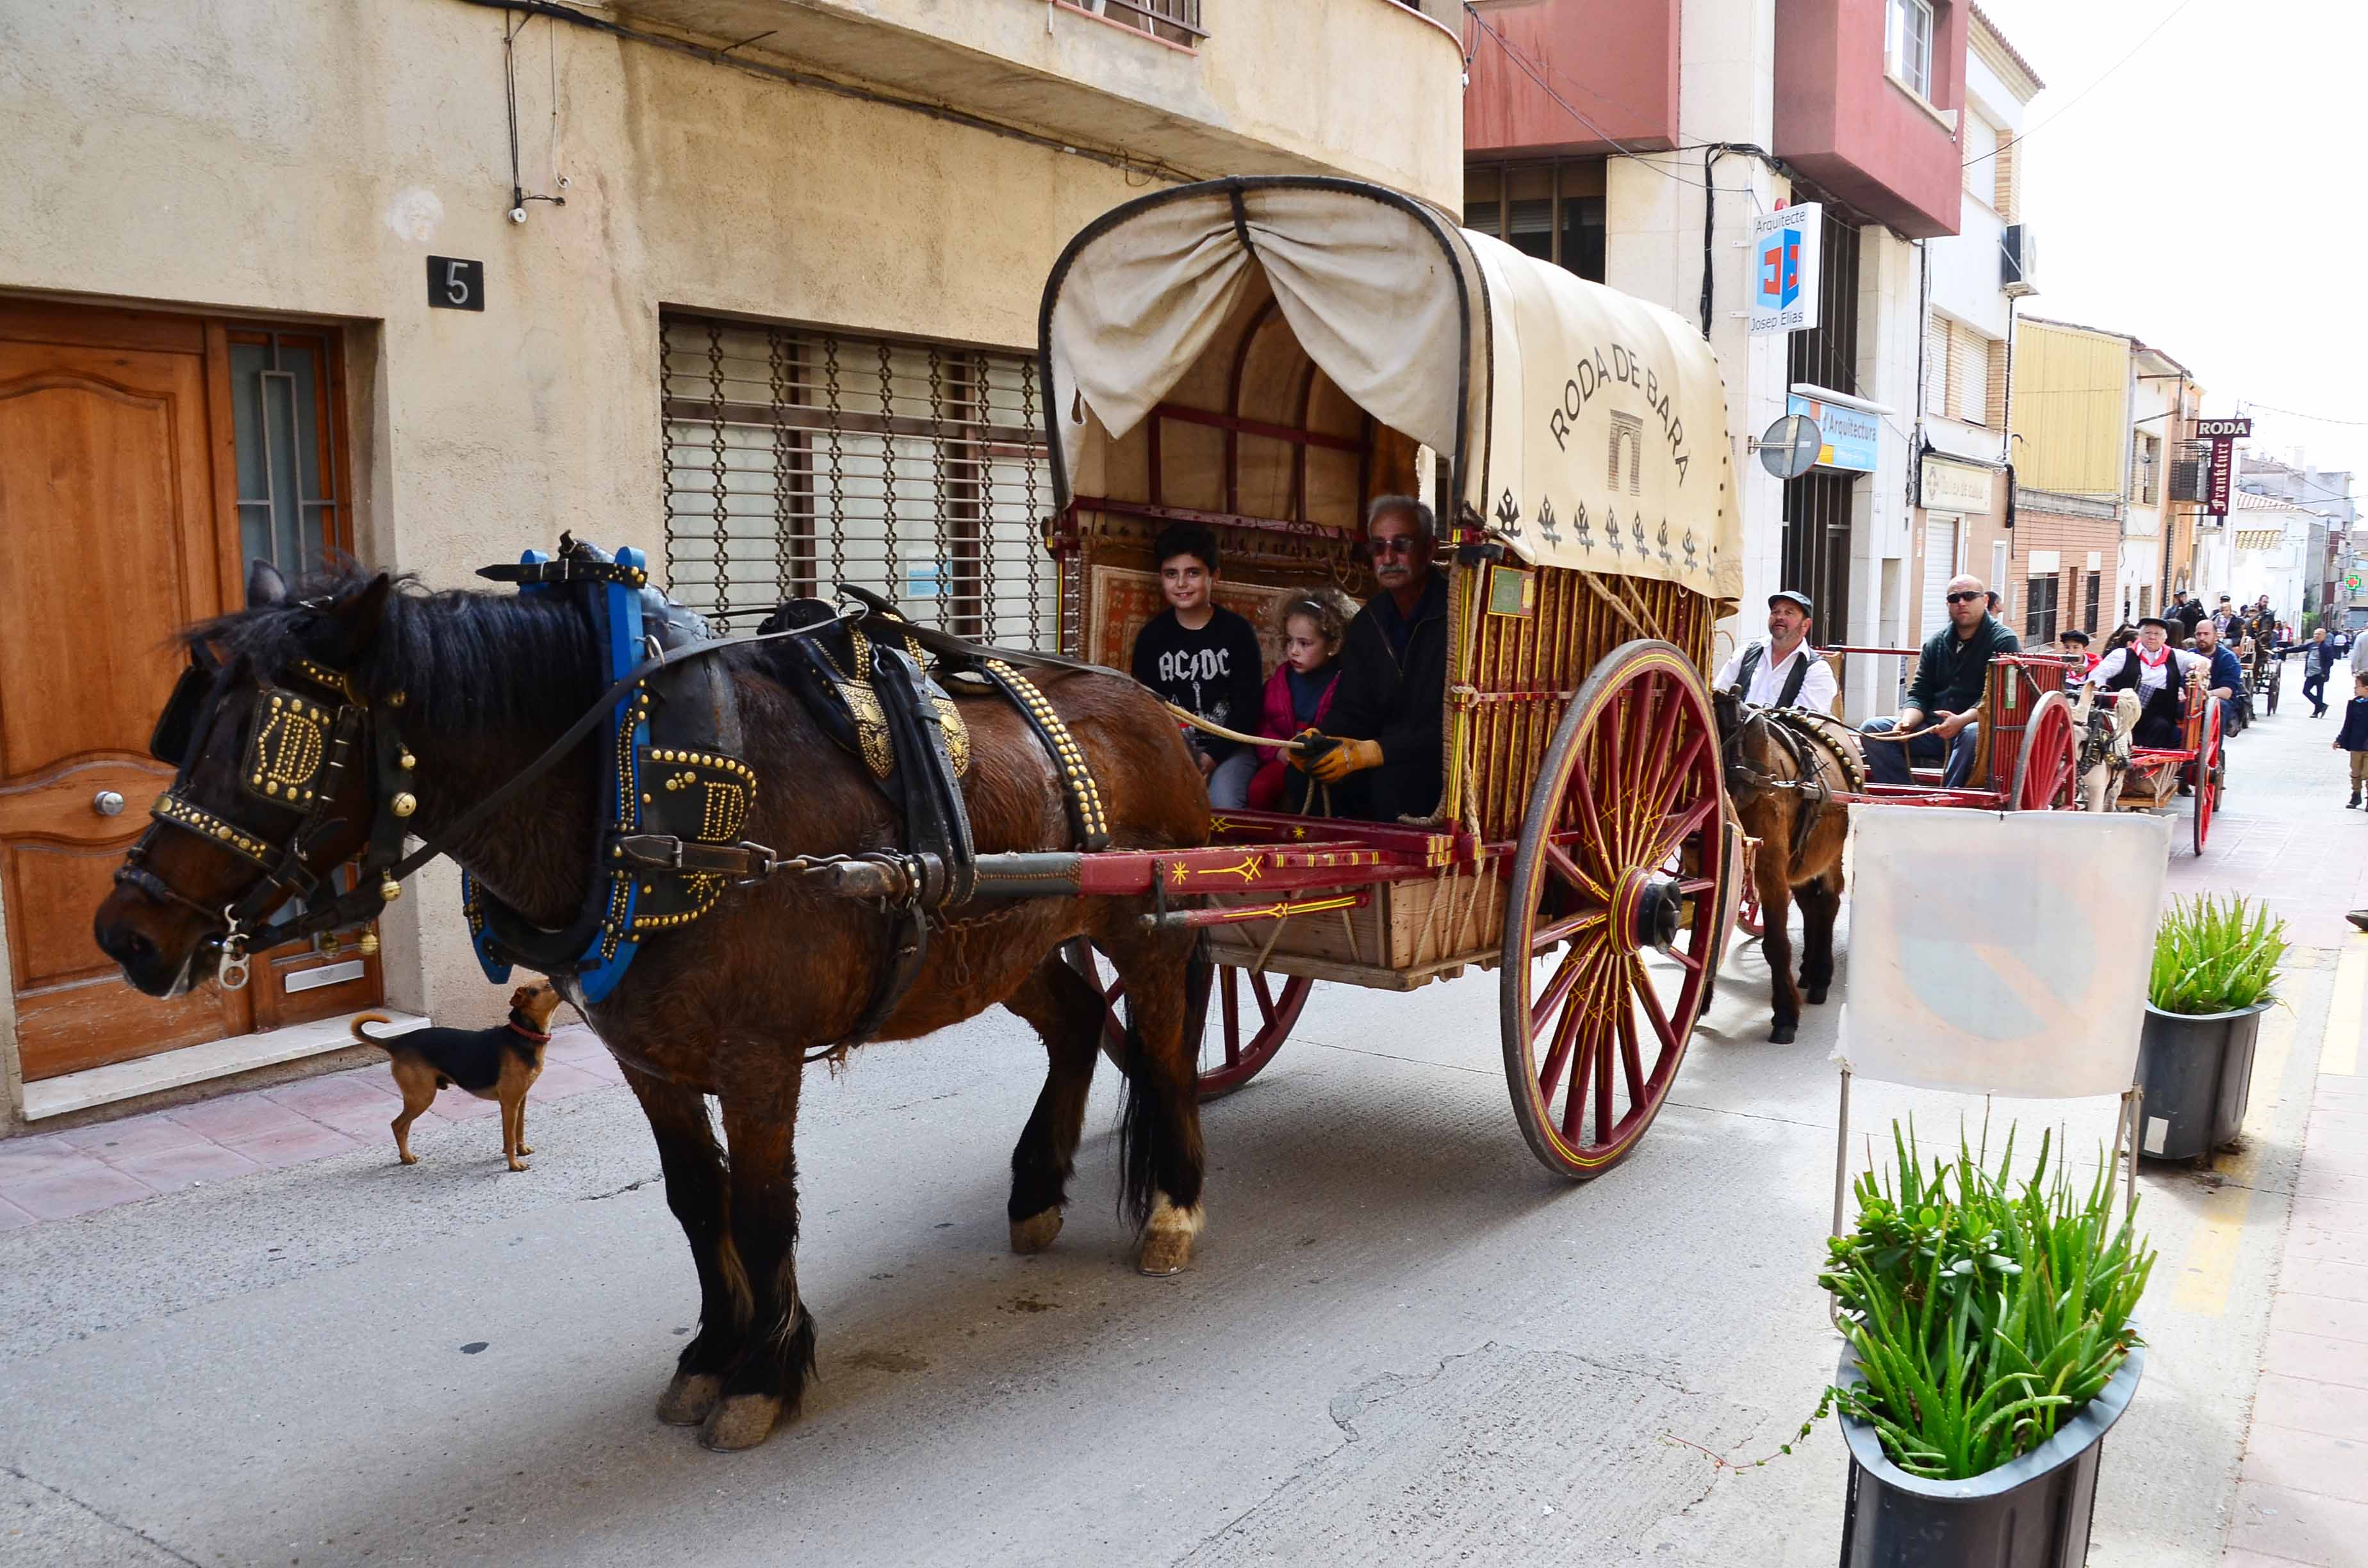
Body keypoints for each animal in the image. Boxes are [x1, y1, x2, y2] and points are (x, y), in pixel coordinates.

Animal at [355, 990, 563, 1175]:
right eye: (546, 986)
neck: (522, 1036)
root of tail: (396, 1042)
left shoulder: (520, 1100)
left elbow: (517, 1131)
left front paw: (521, 1151)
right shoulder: (510, 1104)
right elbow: (510, 1137)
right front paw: (513, 1164)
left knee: (402, 1127)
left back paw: (405, 1157)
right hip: (422, 1098)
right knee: (398, 1125)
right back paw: (406, 1157)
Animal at [1714, 696, 1856, 1042]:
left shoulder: (1770, 871)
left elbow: (1776, 944)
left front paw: (1785, 1015)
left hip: (1829, 853)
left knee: (1827, 903)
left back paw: (1820, 977)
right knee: (1809, 905)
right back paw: (1807, 971)